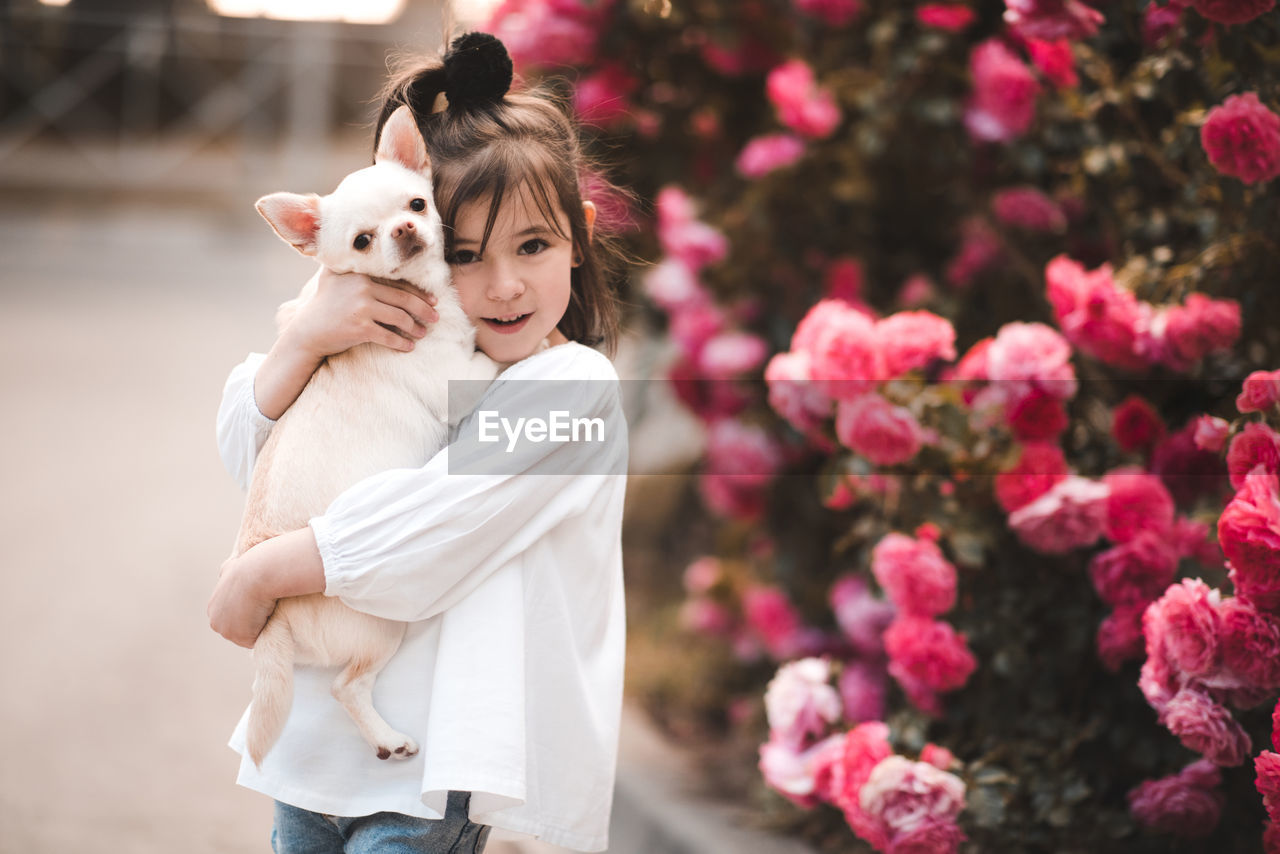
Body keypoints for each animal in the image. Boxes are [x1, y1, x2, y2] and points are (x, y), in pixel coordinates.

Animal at [238, 103, 496, 763]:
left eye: (417, 205)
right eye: (361, 240)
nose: (403, 231)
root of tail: (274, 621)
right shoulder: (461, 377)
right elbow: (491, 361)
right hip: (384, 625)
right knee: (347, 687)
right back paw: (388, 739)